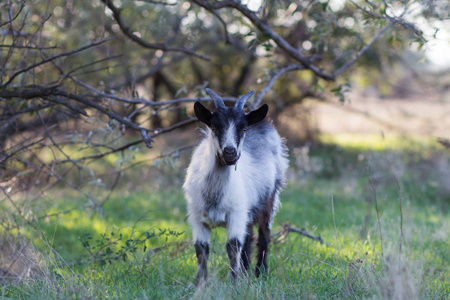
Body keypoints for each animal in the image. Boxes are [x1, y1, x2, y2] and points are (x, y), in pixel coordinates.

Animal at [182, 87, 288, 284]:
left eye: (243, 129)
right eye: (214, 127)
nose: (230, 152)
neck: (214, 194)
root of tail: (264, 123)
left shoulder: (236, 213)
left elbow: (233, 246)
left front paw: (234, 284)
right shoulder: (197, 216)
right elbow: (201, 249)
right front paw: (201, 284)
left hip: (269, 198)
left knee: (264, 234)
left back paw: (260, 273)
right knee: (249, 236)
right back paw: (246, 271)